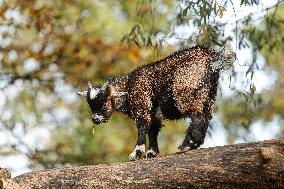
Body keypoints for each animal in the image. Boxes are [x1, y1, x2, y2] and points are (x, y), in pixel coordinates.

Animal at [77, 42, 235, 160]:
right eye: (90, 105)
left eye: (104, 102)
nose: (95, 119)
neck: (128, 85)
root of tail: (212, 58)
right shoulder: (153, 114)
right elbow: (153, 131)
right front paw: (151, 153)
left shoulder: (142, 105)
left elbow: (142, 127)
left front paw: (137, 153)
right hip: (209, 95)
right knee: (206, 117)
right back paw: (193, 144)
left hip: (185, 90)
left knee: (197, 115)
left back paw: (187, 145)